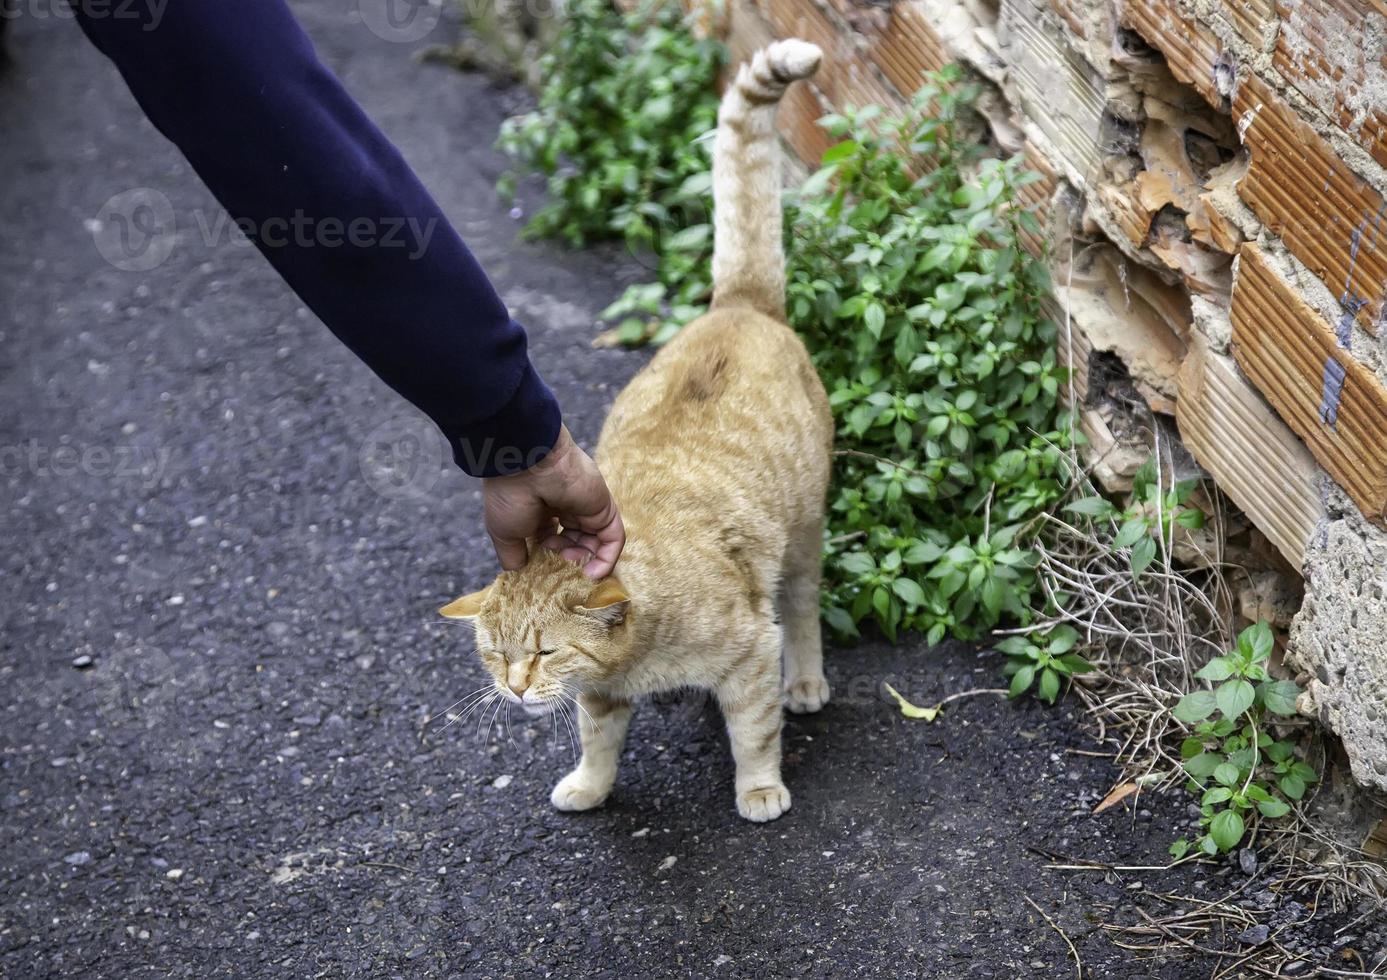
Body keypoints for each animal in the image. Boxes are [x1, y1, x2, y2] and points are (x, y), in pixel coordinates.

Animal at [443, 38, 826, 826]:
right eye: (496, 654)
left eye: (543, 652)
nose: (514, 689)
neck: (642, 658)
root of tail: (738, 305)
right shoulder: (601, 695)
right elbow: (598, 743)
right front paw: (590, 786)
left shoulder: (751, 653)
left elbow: (754, 732)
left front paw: (759, 788)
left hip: (804, 538)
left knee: (803, 610)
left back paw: (806, 680)